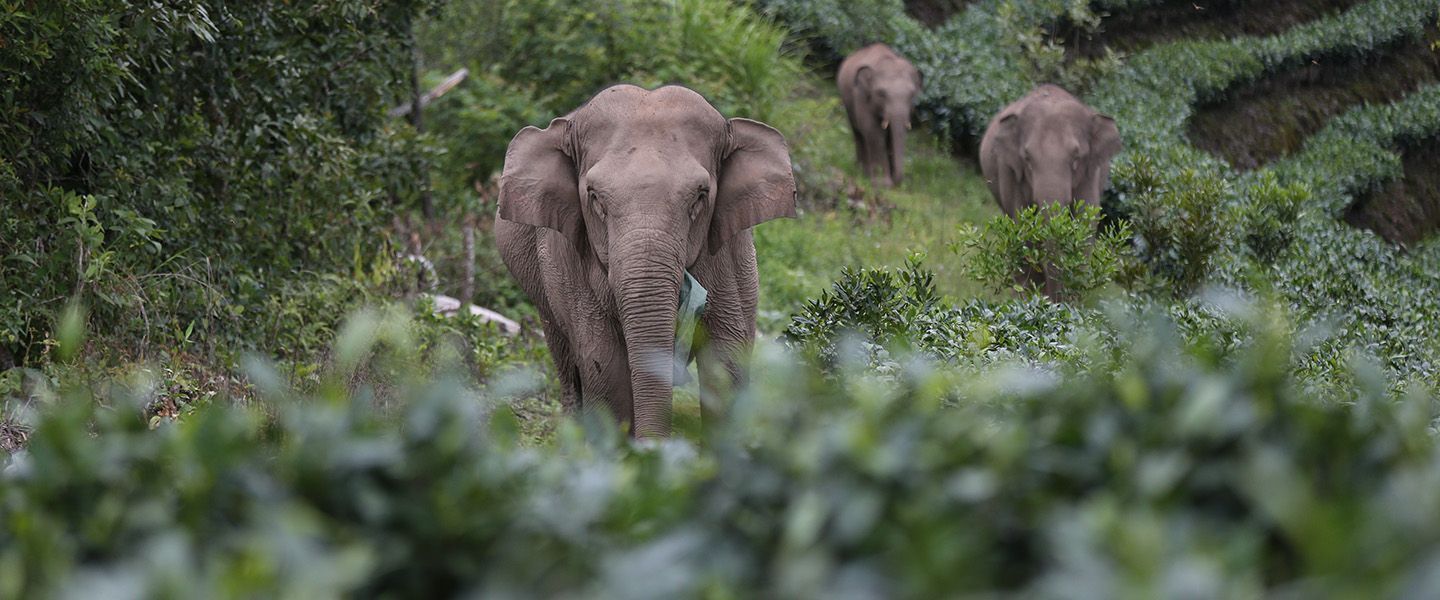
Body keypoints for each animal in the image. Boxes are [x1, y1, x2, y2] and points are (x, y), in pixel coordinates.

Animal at [489, 84, 794, 437]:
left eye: (700, 196)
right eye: (595, 198)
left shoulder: (728, 253)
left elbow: (725, 358)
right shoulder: (567, 257)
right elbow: (604, 364)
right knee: (568, 366)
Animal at [979, 83, 1123, 297]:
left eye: (1076, 157)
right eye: (1027, 158)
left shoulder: (1091, 174)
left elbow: (1085, 226)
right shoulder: (1011, 172)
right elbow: (1023, 232)